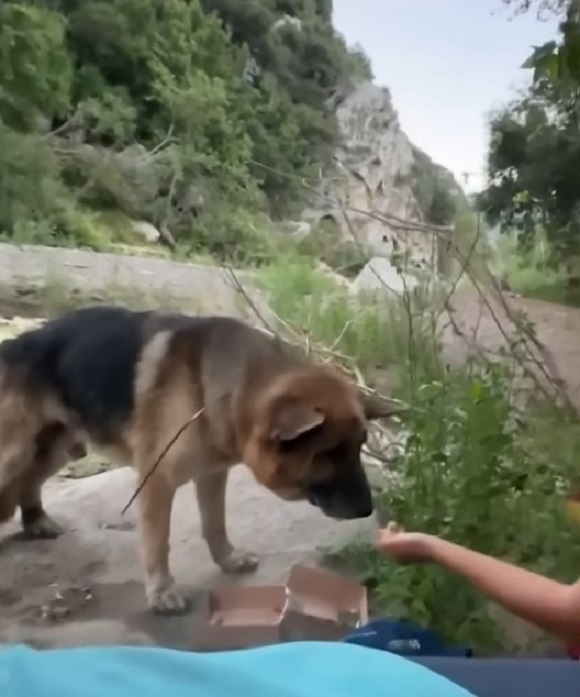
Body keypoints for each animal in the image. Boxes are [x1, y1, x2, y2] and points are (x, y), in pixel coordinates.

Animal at [0, 308, 396, 612]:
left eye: (359, 447)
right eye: (330, 452)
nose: (368, 510)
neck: (222, 389)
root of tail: (16, 342)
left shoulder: (212, 474)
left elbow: (215, 523)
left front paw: (228, 558)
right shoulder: (157, 482)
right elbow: (158, 541)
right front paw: (162, 592)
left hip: (60, 448)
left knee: (31, 479)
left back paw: (36, 520)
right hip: (17, 452)